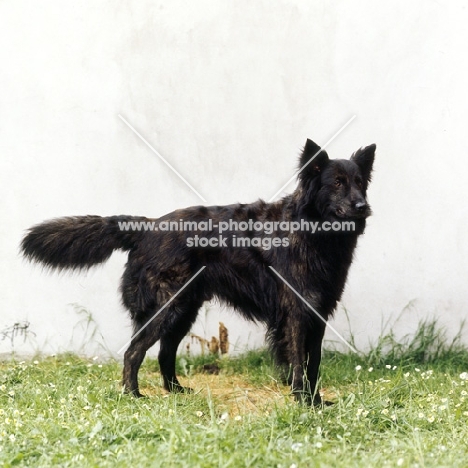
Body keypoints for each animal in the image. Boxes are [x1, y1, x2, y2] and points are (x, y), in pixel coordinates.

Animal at [21, 138, 376, 402]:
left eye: (360, 183)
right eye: (337, 183)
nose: (363, 207)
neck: (311, 231)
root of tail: (148, 227)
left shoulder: (318, 314)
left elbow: (313, 364)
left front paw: (316, 401)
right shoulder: (296, 315)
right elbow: (299, 363)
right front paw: (304, 400)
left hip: (182, 312)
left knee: (163, 354)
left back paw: (175, 392)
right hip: (167, 309)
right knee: (134, 352)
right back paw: (133, 394)